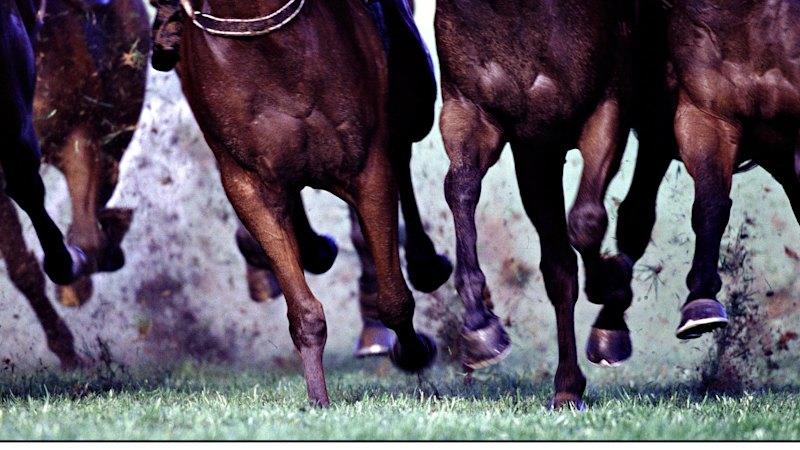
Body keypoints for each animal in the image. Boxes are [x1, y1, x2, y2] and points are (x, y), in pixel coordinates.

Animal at [435, 0, 634, 408]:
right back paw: (568, 386)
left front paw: (610, 293)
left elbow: (587, 221)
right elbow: (460, 189)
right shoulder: (483, 118)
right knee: (560, 266)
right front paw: (480, 325)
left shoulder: (608, 106)